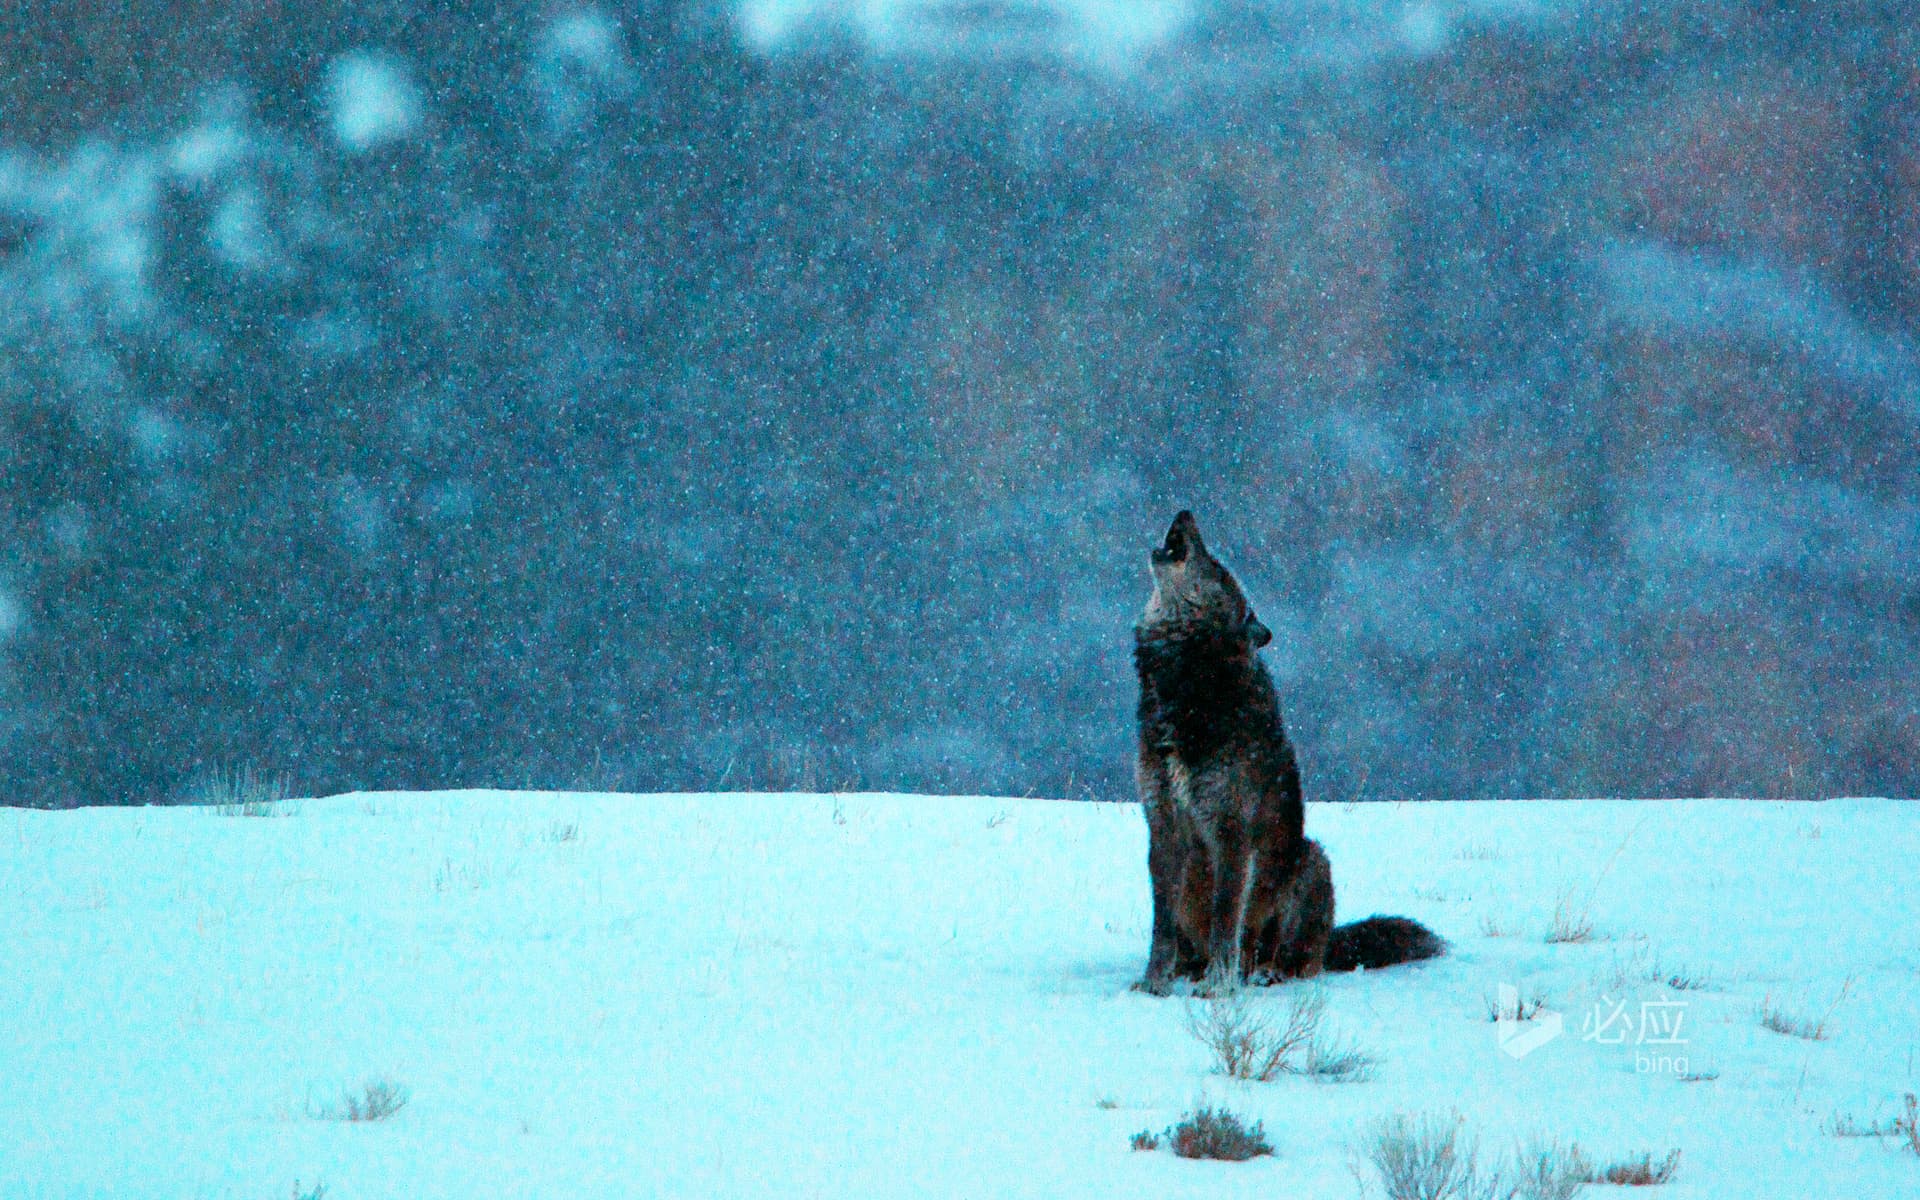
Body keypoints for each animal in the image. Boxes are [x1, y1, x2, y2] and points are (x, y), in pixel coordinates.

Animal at [1133, 511, 1444, 993]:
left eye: (1217, 566)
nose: (1185, 513)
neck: (1187, 683)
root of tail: (1334, 942)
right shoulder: (1162, 825)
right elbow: (1161, 928)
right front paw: (1153, 986)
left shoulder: (1230, 831)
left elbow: (1225, 920)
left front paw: (1218, 989)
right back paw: (1194, 970)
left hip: (1311, 859)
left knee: (1291, 958)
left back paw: (1261, 973)